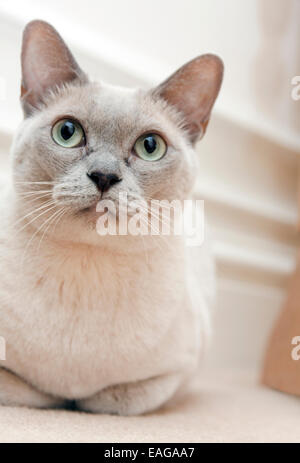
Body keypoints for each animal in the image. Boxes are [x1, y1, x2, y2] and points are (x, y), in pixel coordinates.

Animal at [0, 20, 223, 416]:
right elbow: (31, 391)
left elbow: (108, 400)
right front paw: (60, 398)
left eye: (150, 146)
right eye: (67, 132)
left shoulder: (174, 374)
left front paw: (76, 400)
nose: (104, 176)